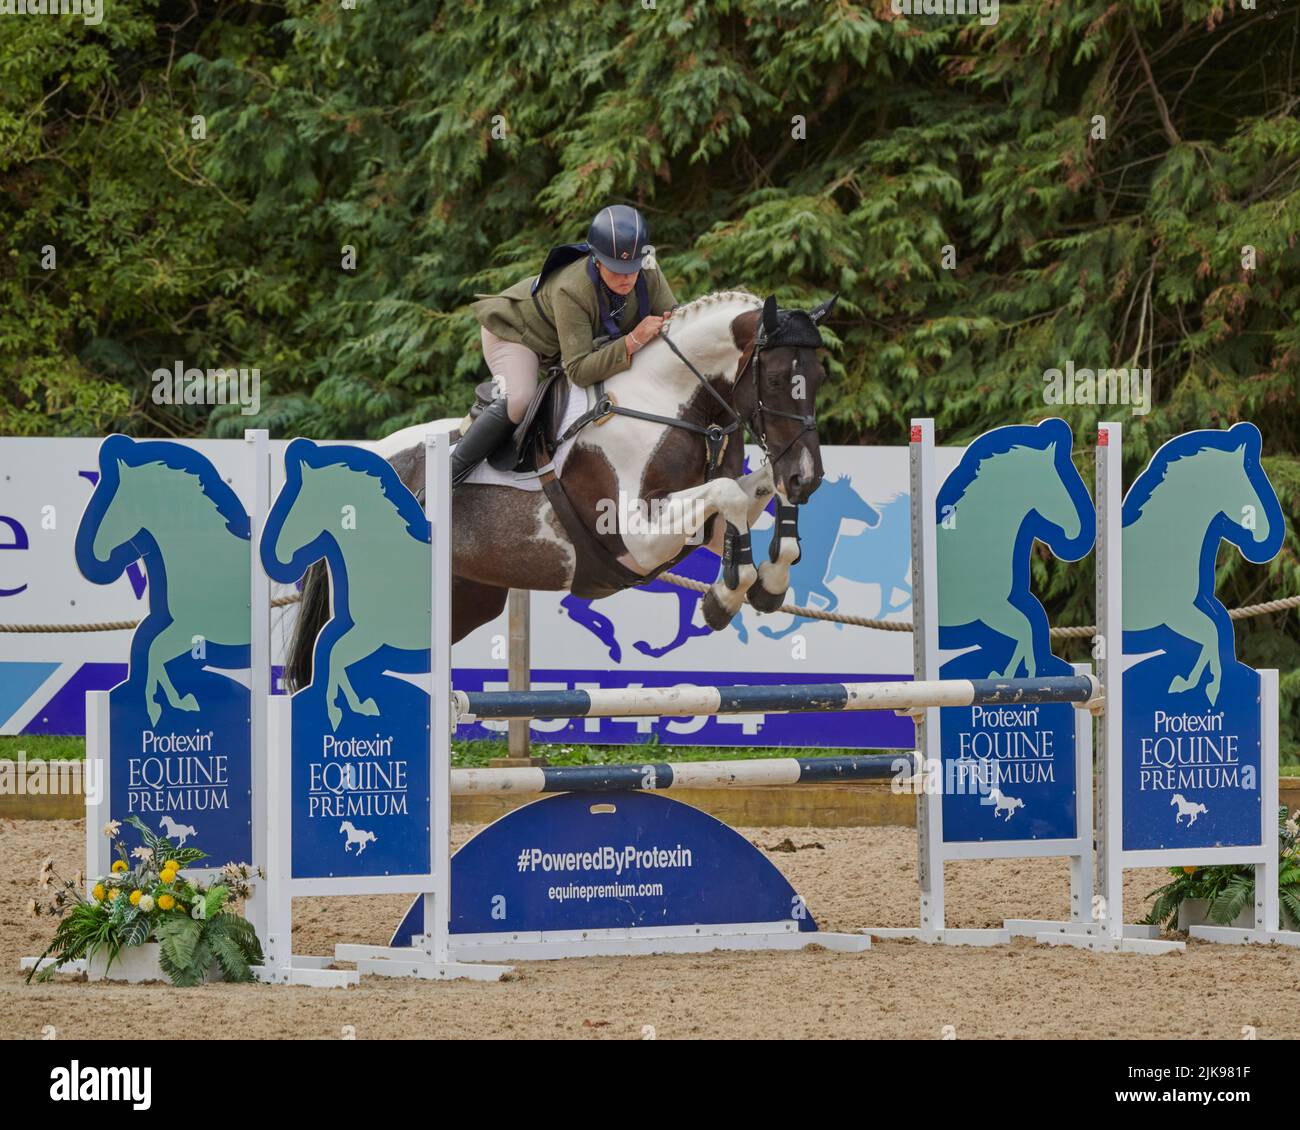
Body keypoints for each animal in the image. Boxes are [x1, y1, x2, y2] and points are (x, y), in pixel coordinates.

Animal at [284, 288, 832, 686]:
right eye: (778, 380)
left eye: (819, 376)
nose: (807, 477)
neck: (667, 403)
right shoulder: (633, 535)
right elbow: (729, 493)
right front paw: (724, 599)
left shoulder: (703, 521)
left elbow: (750, 495)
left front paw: (764, 585)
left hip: (465, 599)